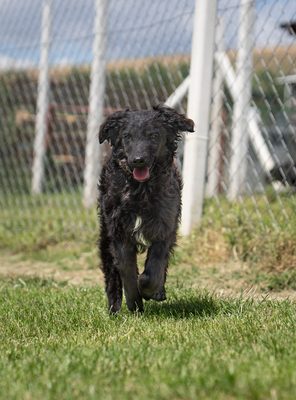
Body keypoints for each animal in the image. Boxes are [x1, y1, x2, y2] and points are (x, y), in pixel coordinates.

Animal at [97, 104, 194, 312]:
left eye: (153, 135)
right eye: (127, 136)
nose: (138, 160)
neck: (141, 191)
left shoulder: (165, 228)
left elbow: (153, 270)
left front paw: (150, 291)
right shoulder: (119, 233)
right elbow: (127, 273)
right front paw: (135, 306)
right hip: (105, 234)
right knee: (111, 271)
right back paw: (114, 308)